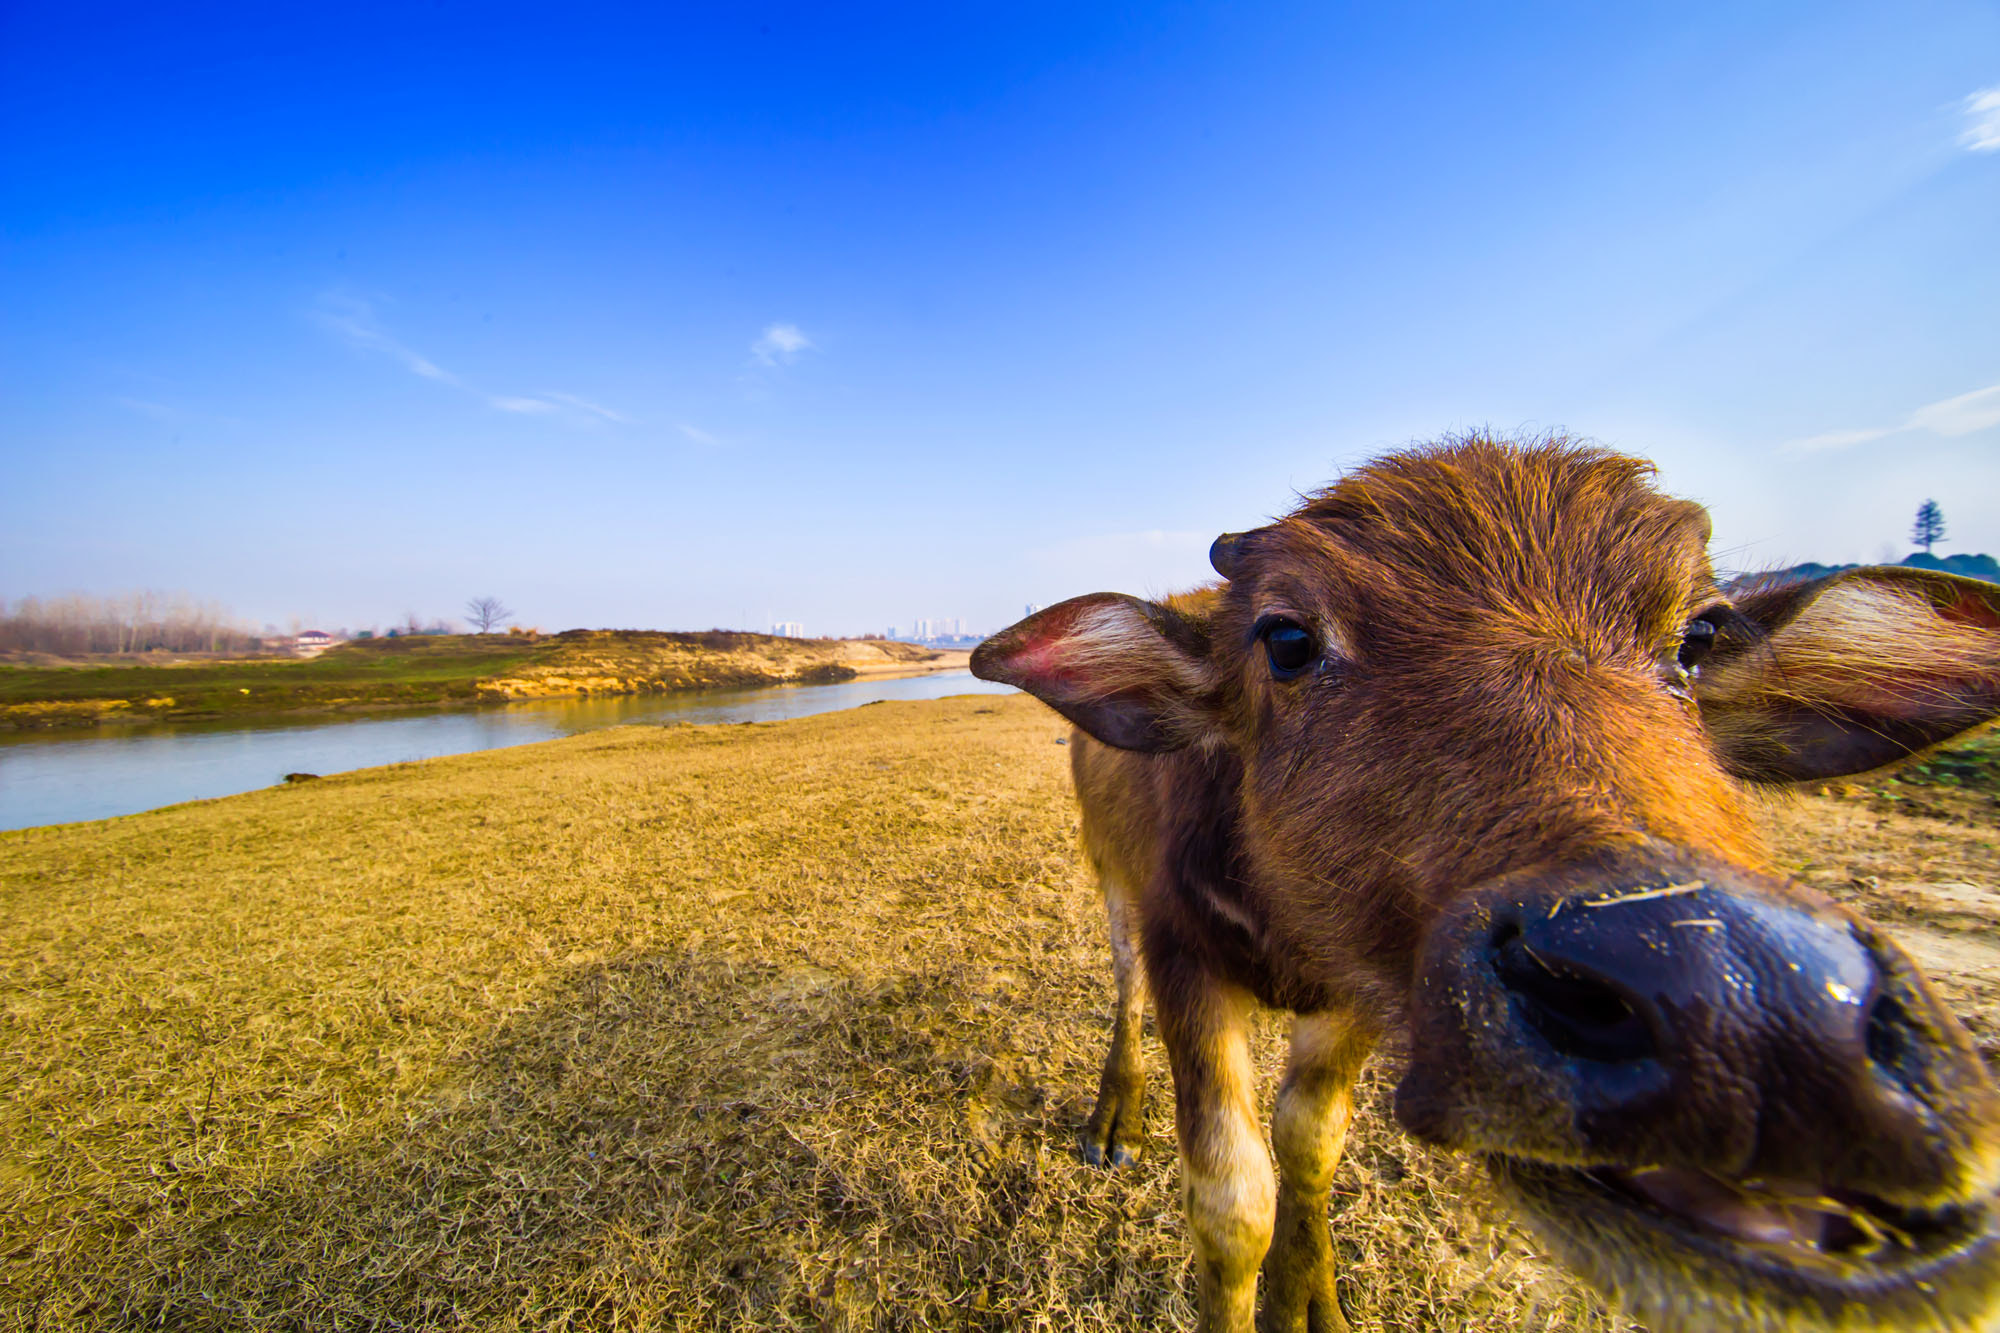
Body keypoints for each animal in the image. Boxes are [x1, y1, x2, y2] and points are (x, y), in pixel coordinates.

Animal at [968, 430, 2000, 1320]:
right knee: (1122, 981)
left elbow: (1311, 1144)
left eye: (1699, 637)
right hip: (1109, 877)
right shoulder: (1185, 953)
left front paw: (1313, 1302)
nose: (1749, 1015)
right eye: (1287, 639)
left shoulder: (1364, 990)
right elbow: (1232, 1203)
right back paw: (1114, 1110)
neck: (1286, 927)